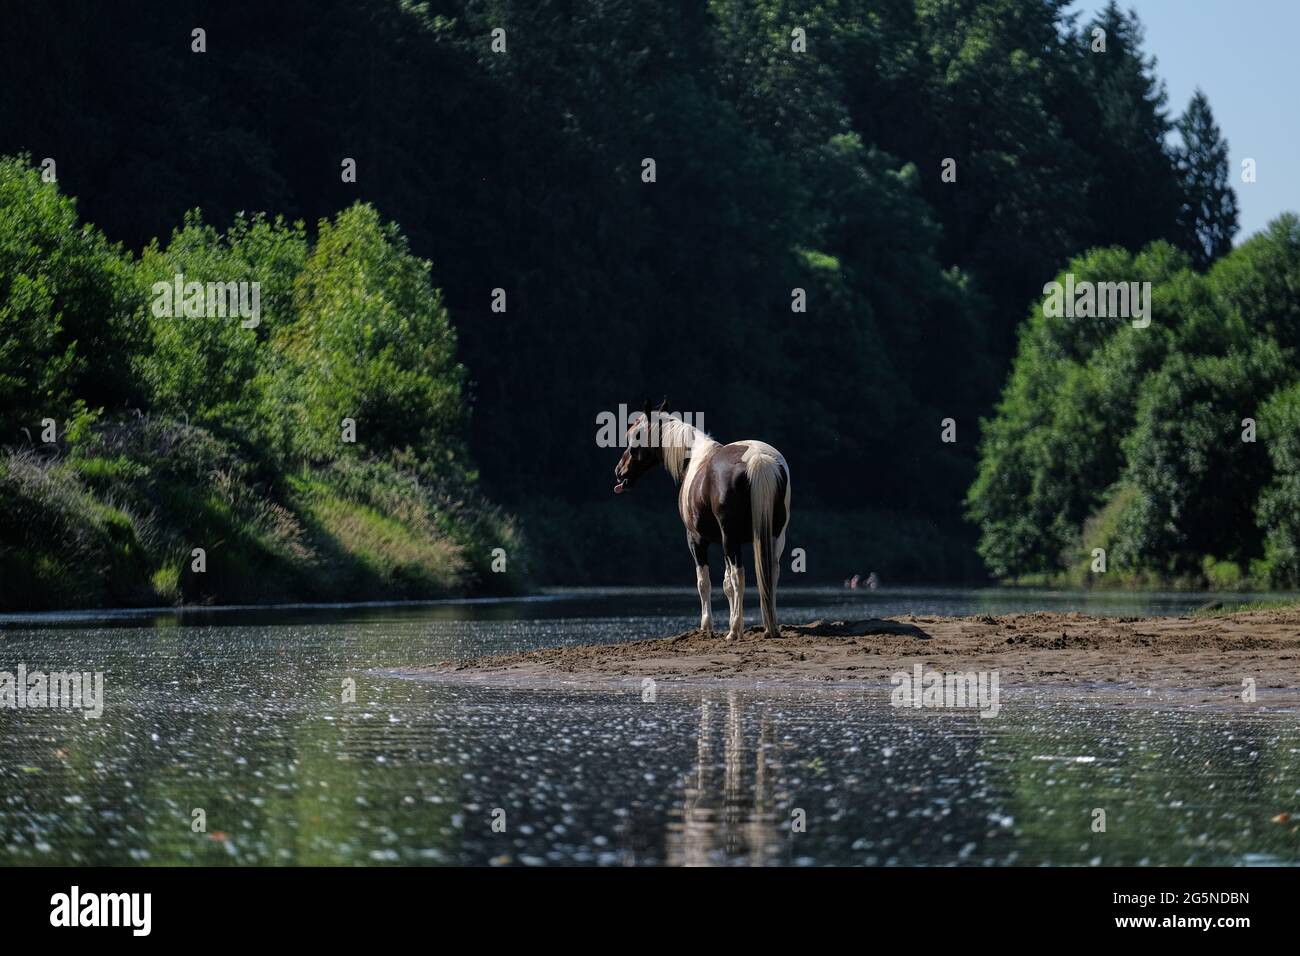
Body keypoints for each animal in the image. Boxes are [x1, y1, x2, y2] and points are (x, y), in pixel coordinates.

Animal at [612, 400, 791, 640]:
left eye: (635, 438)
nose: (619, 472)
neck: (694, 458)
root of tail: (758, 458)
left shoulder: (697, 540)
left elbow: (704, 582)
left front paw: (706, 626)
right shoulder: (725, 543)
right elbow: (726, 584)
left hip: (731, 539)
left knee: (739, 576)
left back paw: (735, 631)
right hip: (774, 536)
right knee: (771, 573)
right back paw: (771, 627)